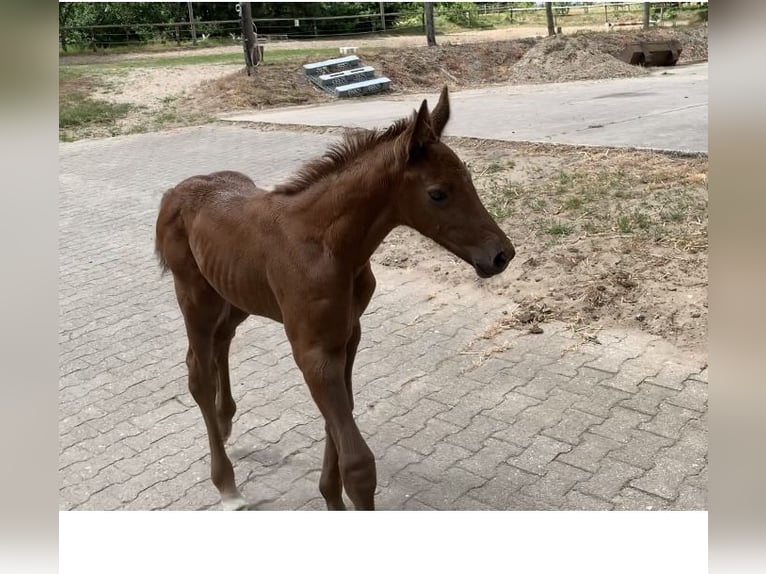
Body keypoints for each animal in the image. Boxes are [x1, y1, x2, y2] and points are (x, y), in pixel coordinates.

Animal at [154, 86, 515, 510]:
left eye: (469, 179)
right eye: (438, 194)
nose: (501, 254)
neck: (328, 246)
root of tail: (174, 193)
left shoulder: (347, 335)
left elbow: (339, 418)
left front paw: (330, 496)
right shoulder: (313, 351)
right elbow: (357, 463)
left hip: (237, 294)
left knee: (221, 342)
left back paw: (226, 421)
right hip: (195, 295)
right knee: (198, 372)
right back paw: (226, 483)